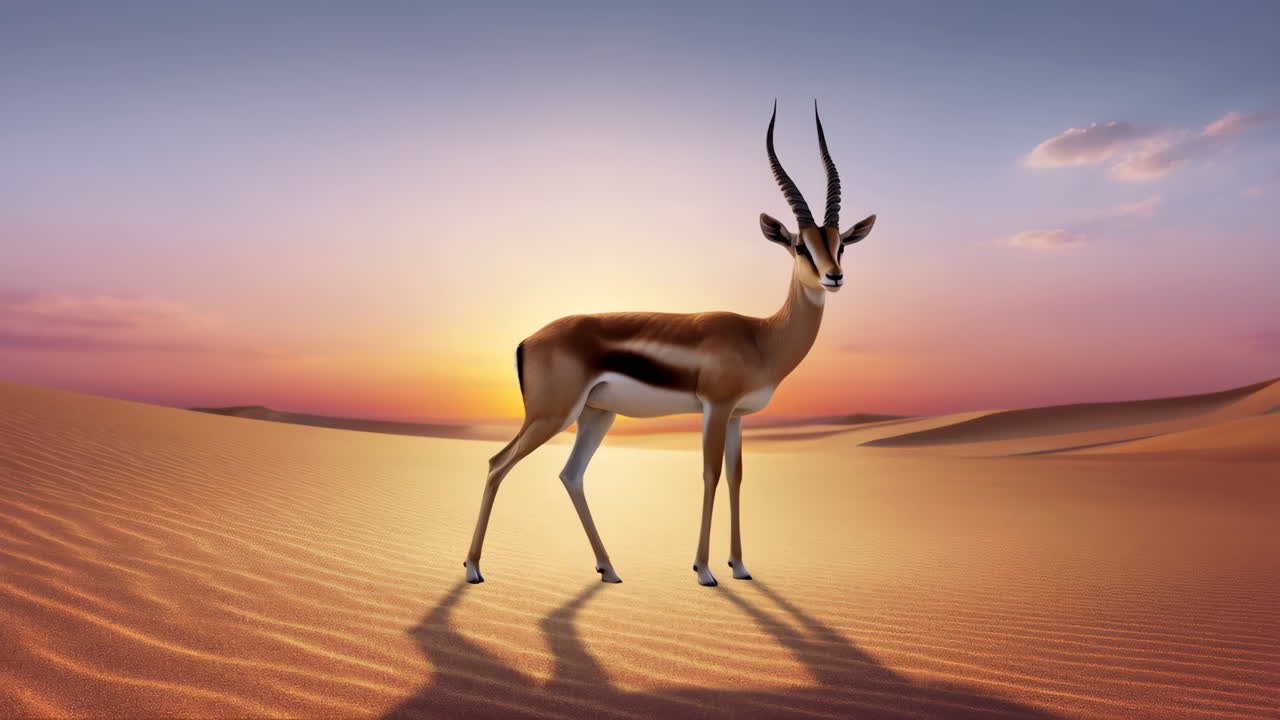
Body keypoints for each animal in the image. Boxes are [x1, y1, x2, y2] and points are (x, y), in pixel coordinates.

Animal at [465, 102, 877, 587]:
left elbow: (736, 477)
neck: (761, 337)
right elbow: (710, 474)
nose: (834, 277)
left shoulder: (738, 417)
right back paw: (473, 569)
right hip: (550, 416)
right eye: (799, 246)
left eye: (840, 245)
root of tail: (526, 340)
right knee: (497, 463)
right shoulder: (715, 408)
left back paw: (609, 569)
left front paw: (740, 566)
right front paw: (704, 570)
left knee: (570, 475)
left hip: (596, 416)